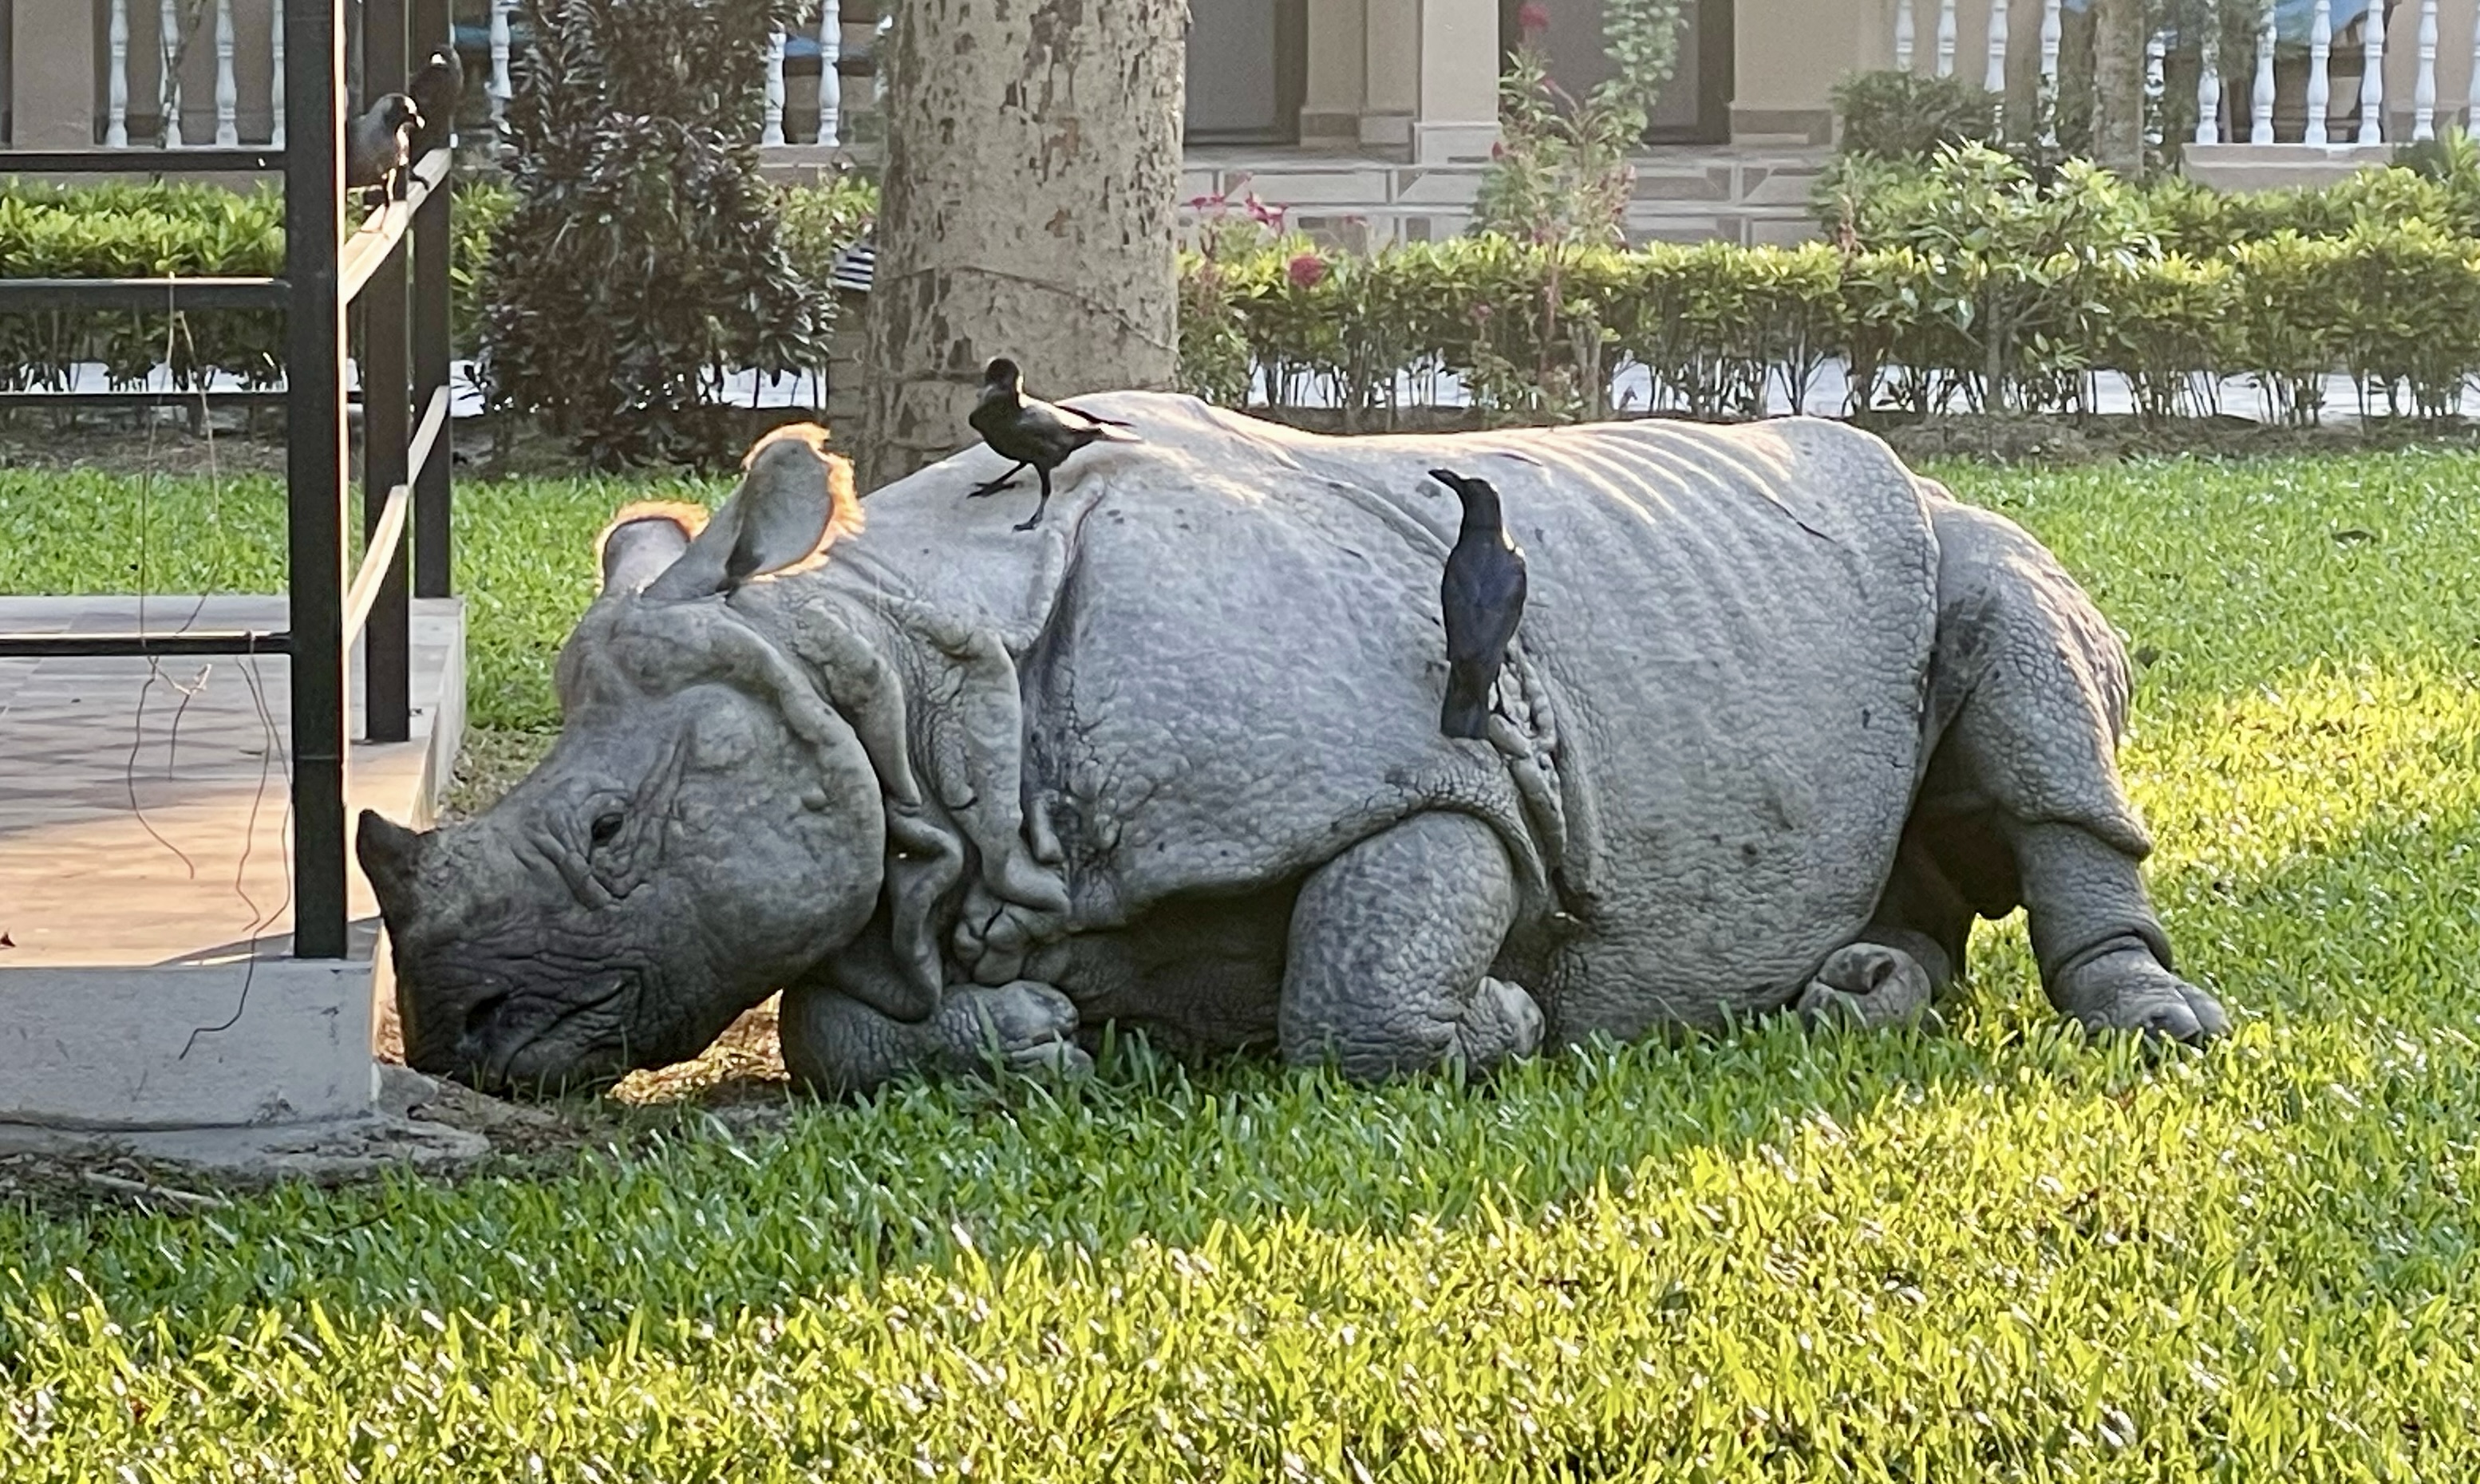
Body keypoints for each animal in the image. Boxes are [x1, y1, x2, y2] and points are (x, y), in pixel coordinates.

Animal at [359, 399, 2230, 1096]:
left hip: (1958, 529)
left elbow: (1361, 989)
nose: (456, 1038)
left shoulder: (1437, 784)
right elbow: (826, 1030)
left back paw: (2154, 1026)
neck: (894, 672)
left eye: (610, 837)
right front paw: (1035, 1037)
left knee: (2032, 704)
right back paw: (1851, 994)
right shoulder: (907, 855)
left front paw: (1507, 1023)